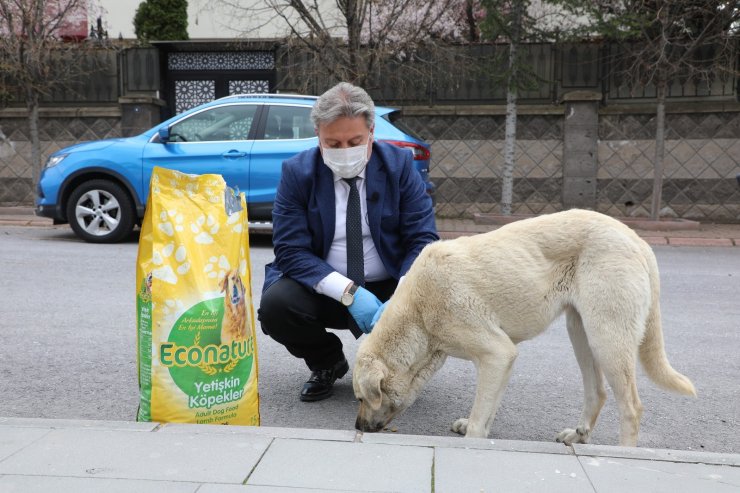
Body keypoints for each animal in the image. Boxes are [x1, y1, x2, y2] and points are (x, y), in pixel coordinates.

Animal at [356, 208, 696, 446]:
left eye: (361, 399)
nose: (357, 428)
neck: (419, 314)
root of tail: (634, 237)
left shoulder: (496, 353)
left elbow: (480, 416)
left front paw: (472, 441)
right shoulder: (502, 359)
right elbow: (488, 408)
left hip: (607, 338)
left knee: (631, 407)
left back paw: (623, 453)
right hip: (581, 332)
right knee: (598, 392)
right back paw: (578, 435)